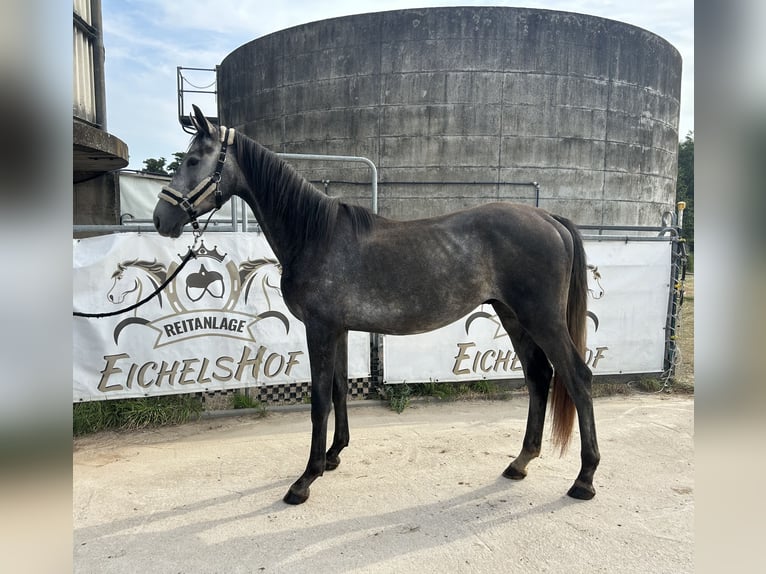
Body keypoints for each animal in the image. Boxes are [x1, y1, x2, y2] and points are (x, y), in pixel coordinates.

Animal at [153, 105, 599, 505]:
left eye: (193, 159)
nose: (161, 219)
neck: (315, 236)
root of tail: (550, 220)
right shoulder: (337, 330)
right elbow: (338, 391)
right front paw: (333, 456)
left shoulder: (319, 329)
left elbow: (319, 400)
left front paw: (305, 480)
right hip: (513, 316)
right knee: (539, 376)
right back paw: (520, 462)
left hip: (541, 319)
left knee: (577, 377)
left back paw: (584, 479)